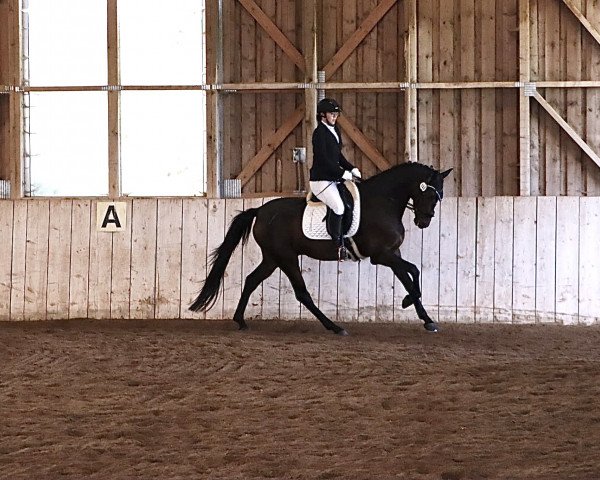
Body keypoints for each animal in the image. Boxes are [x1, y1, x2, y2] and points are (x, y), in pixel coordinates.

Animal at [190, 163, 452, 336]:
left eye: (439, 196)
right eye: (430, 193)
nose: (423, 221)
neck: (383, 202)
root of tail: (260, 211)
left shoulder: (392, 253)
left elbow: (411, 275)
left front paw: (422, 314)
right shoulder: (382, 255)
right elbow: (412, 274)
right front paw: (414, 308)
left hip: (273, 258)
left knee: (252, 280)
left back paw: (240, 320)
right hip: (286, 257)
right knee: (301, 293)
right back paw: (335, 327)